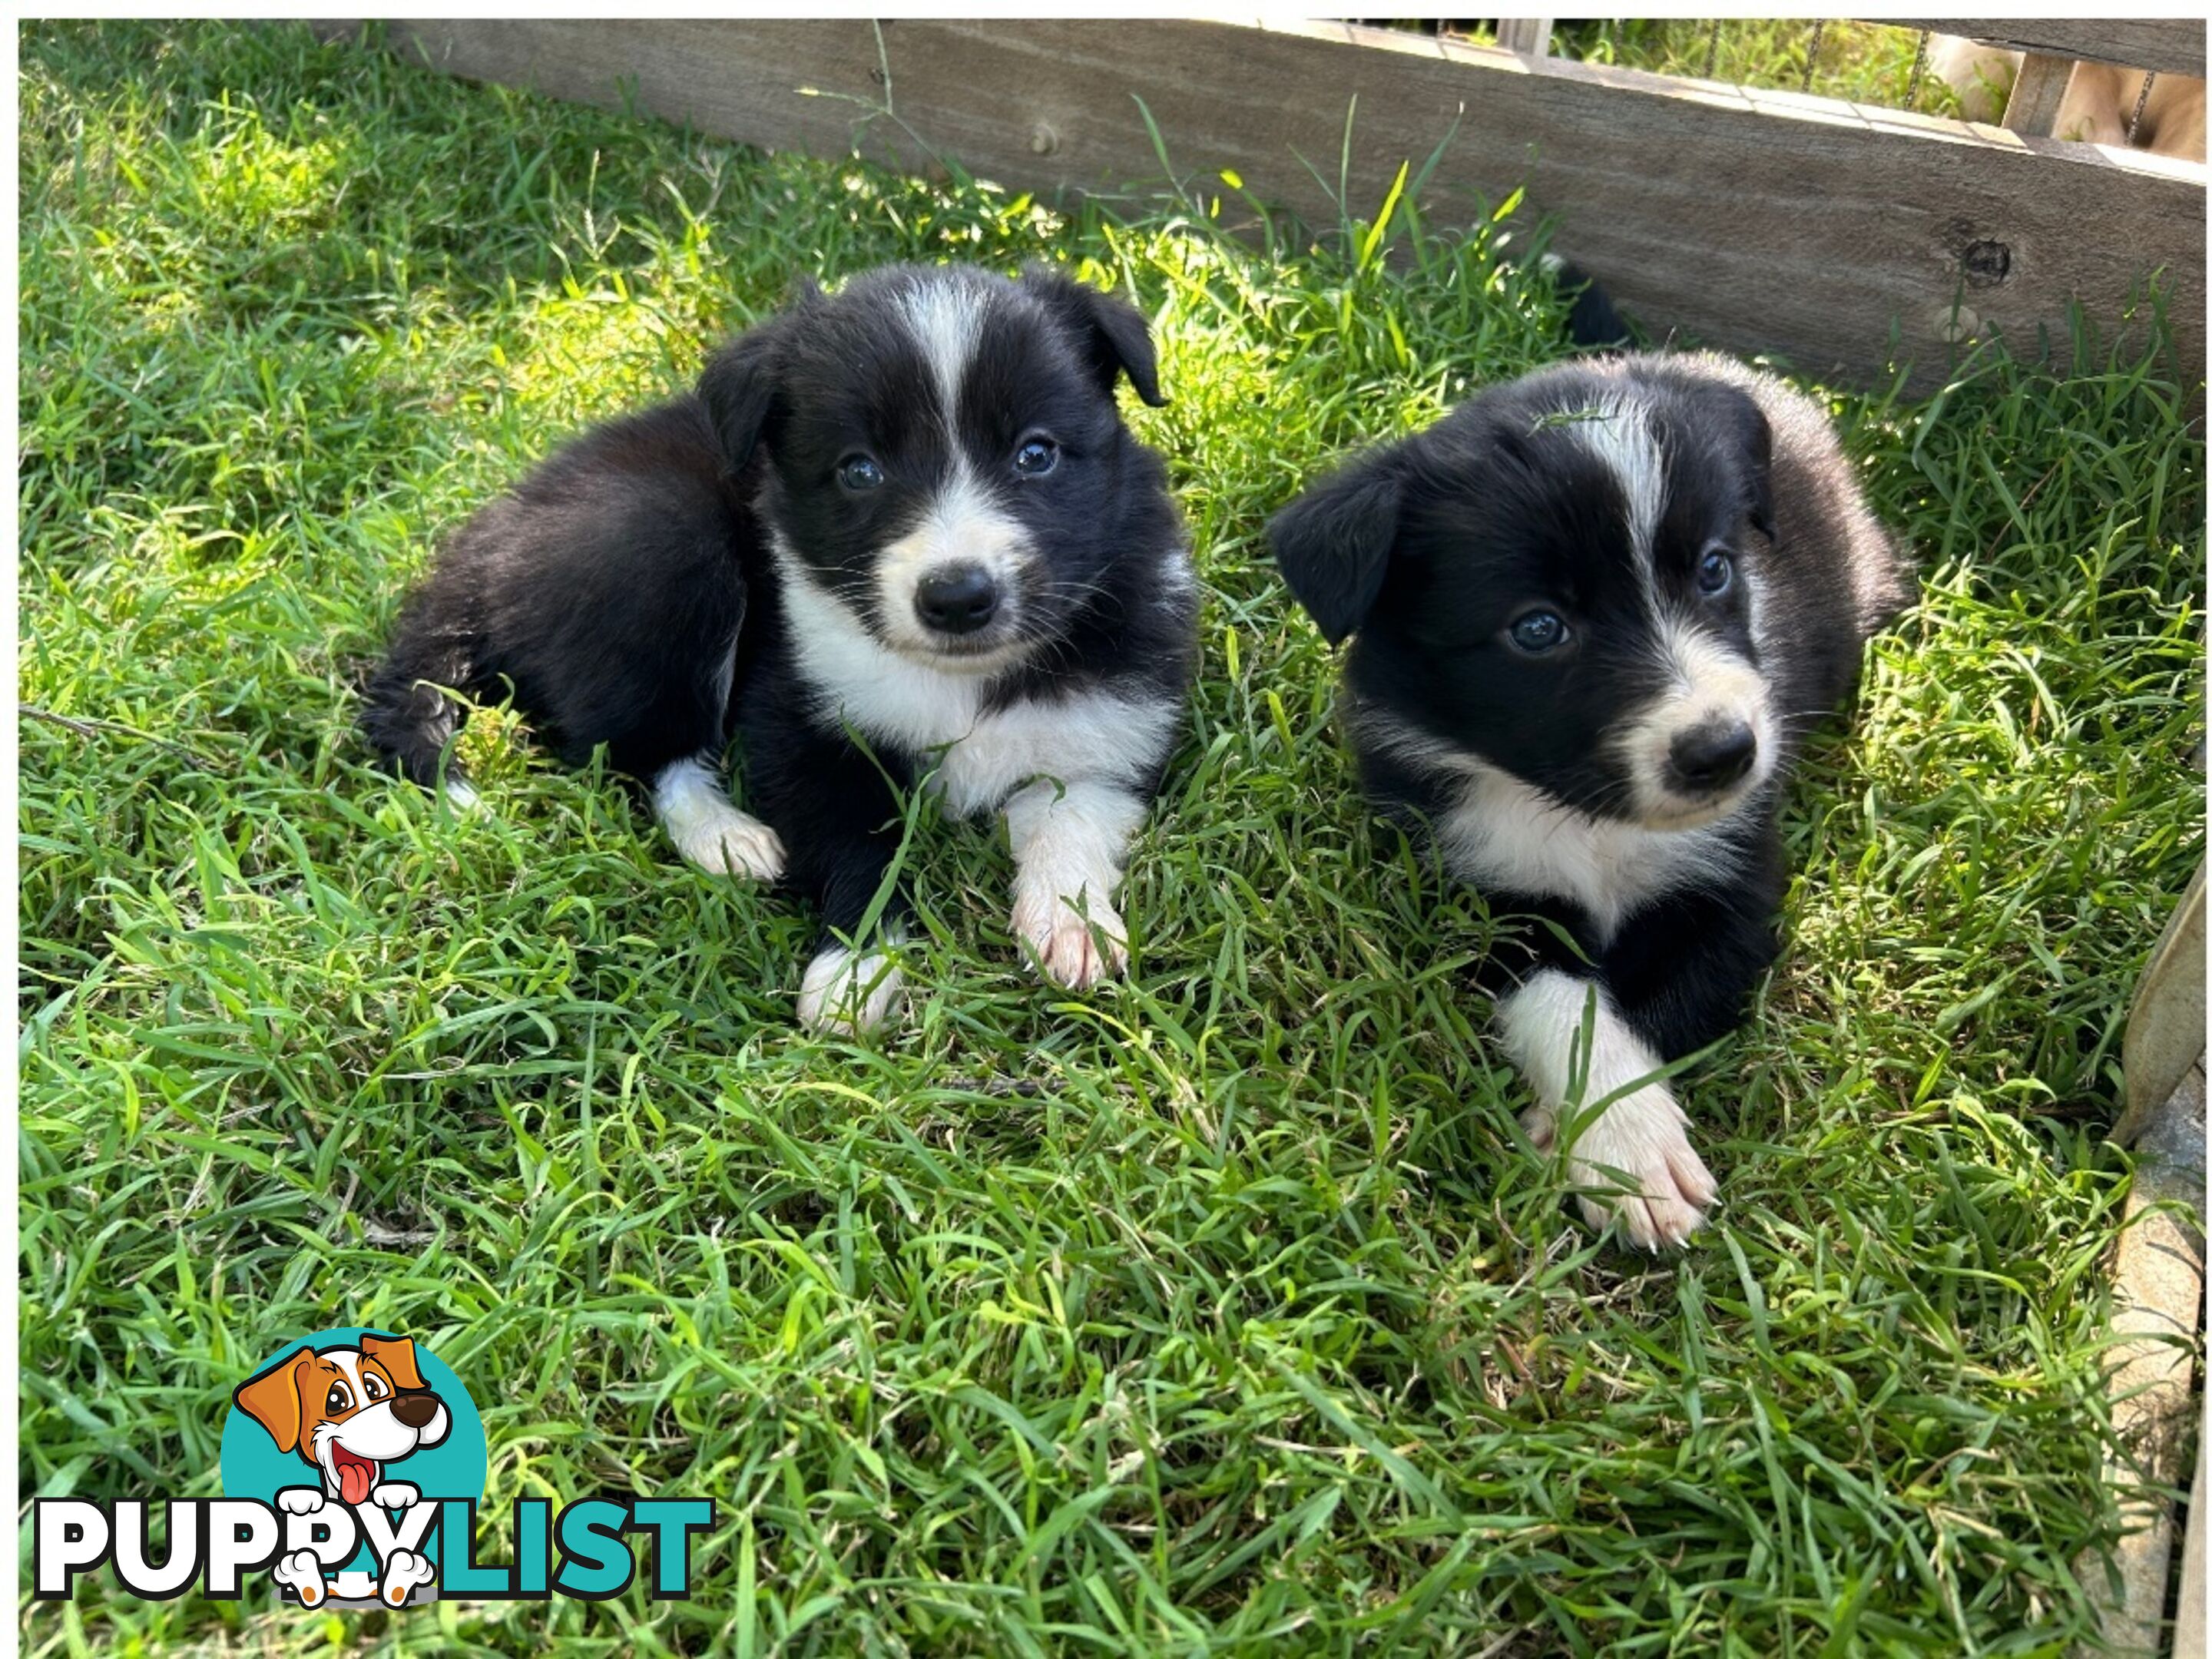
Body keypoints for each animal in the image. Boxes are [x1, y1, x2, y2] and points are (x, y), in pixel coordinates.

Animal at [363, 264, 1194, 1035]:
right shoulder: (801, 721)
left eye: (1036, 454)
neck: (959, 676)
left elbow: (1075, 811)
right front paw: (855, 971)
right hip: (663, 541)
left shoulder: (1117, 719)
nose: (958, 597)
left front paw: (1071, 924)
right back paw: (729, 839)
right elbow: (855, 848)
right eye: (859, 469)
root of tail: (480, 555)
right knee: (645, 755)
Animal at [1273, 358, 1911, 1256]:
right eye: (1539, 629)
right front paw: (1621, 1145)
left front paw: (1610, 1140)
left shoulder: (1729, 880)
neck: (1589, 817)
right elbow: (1558, 998)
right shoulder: (1472, 882)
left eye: (1715, 570)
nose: (1725, 751)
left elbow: (1667, 1003)